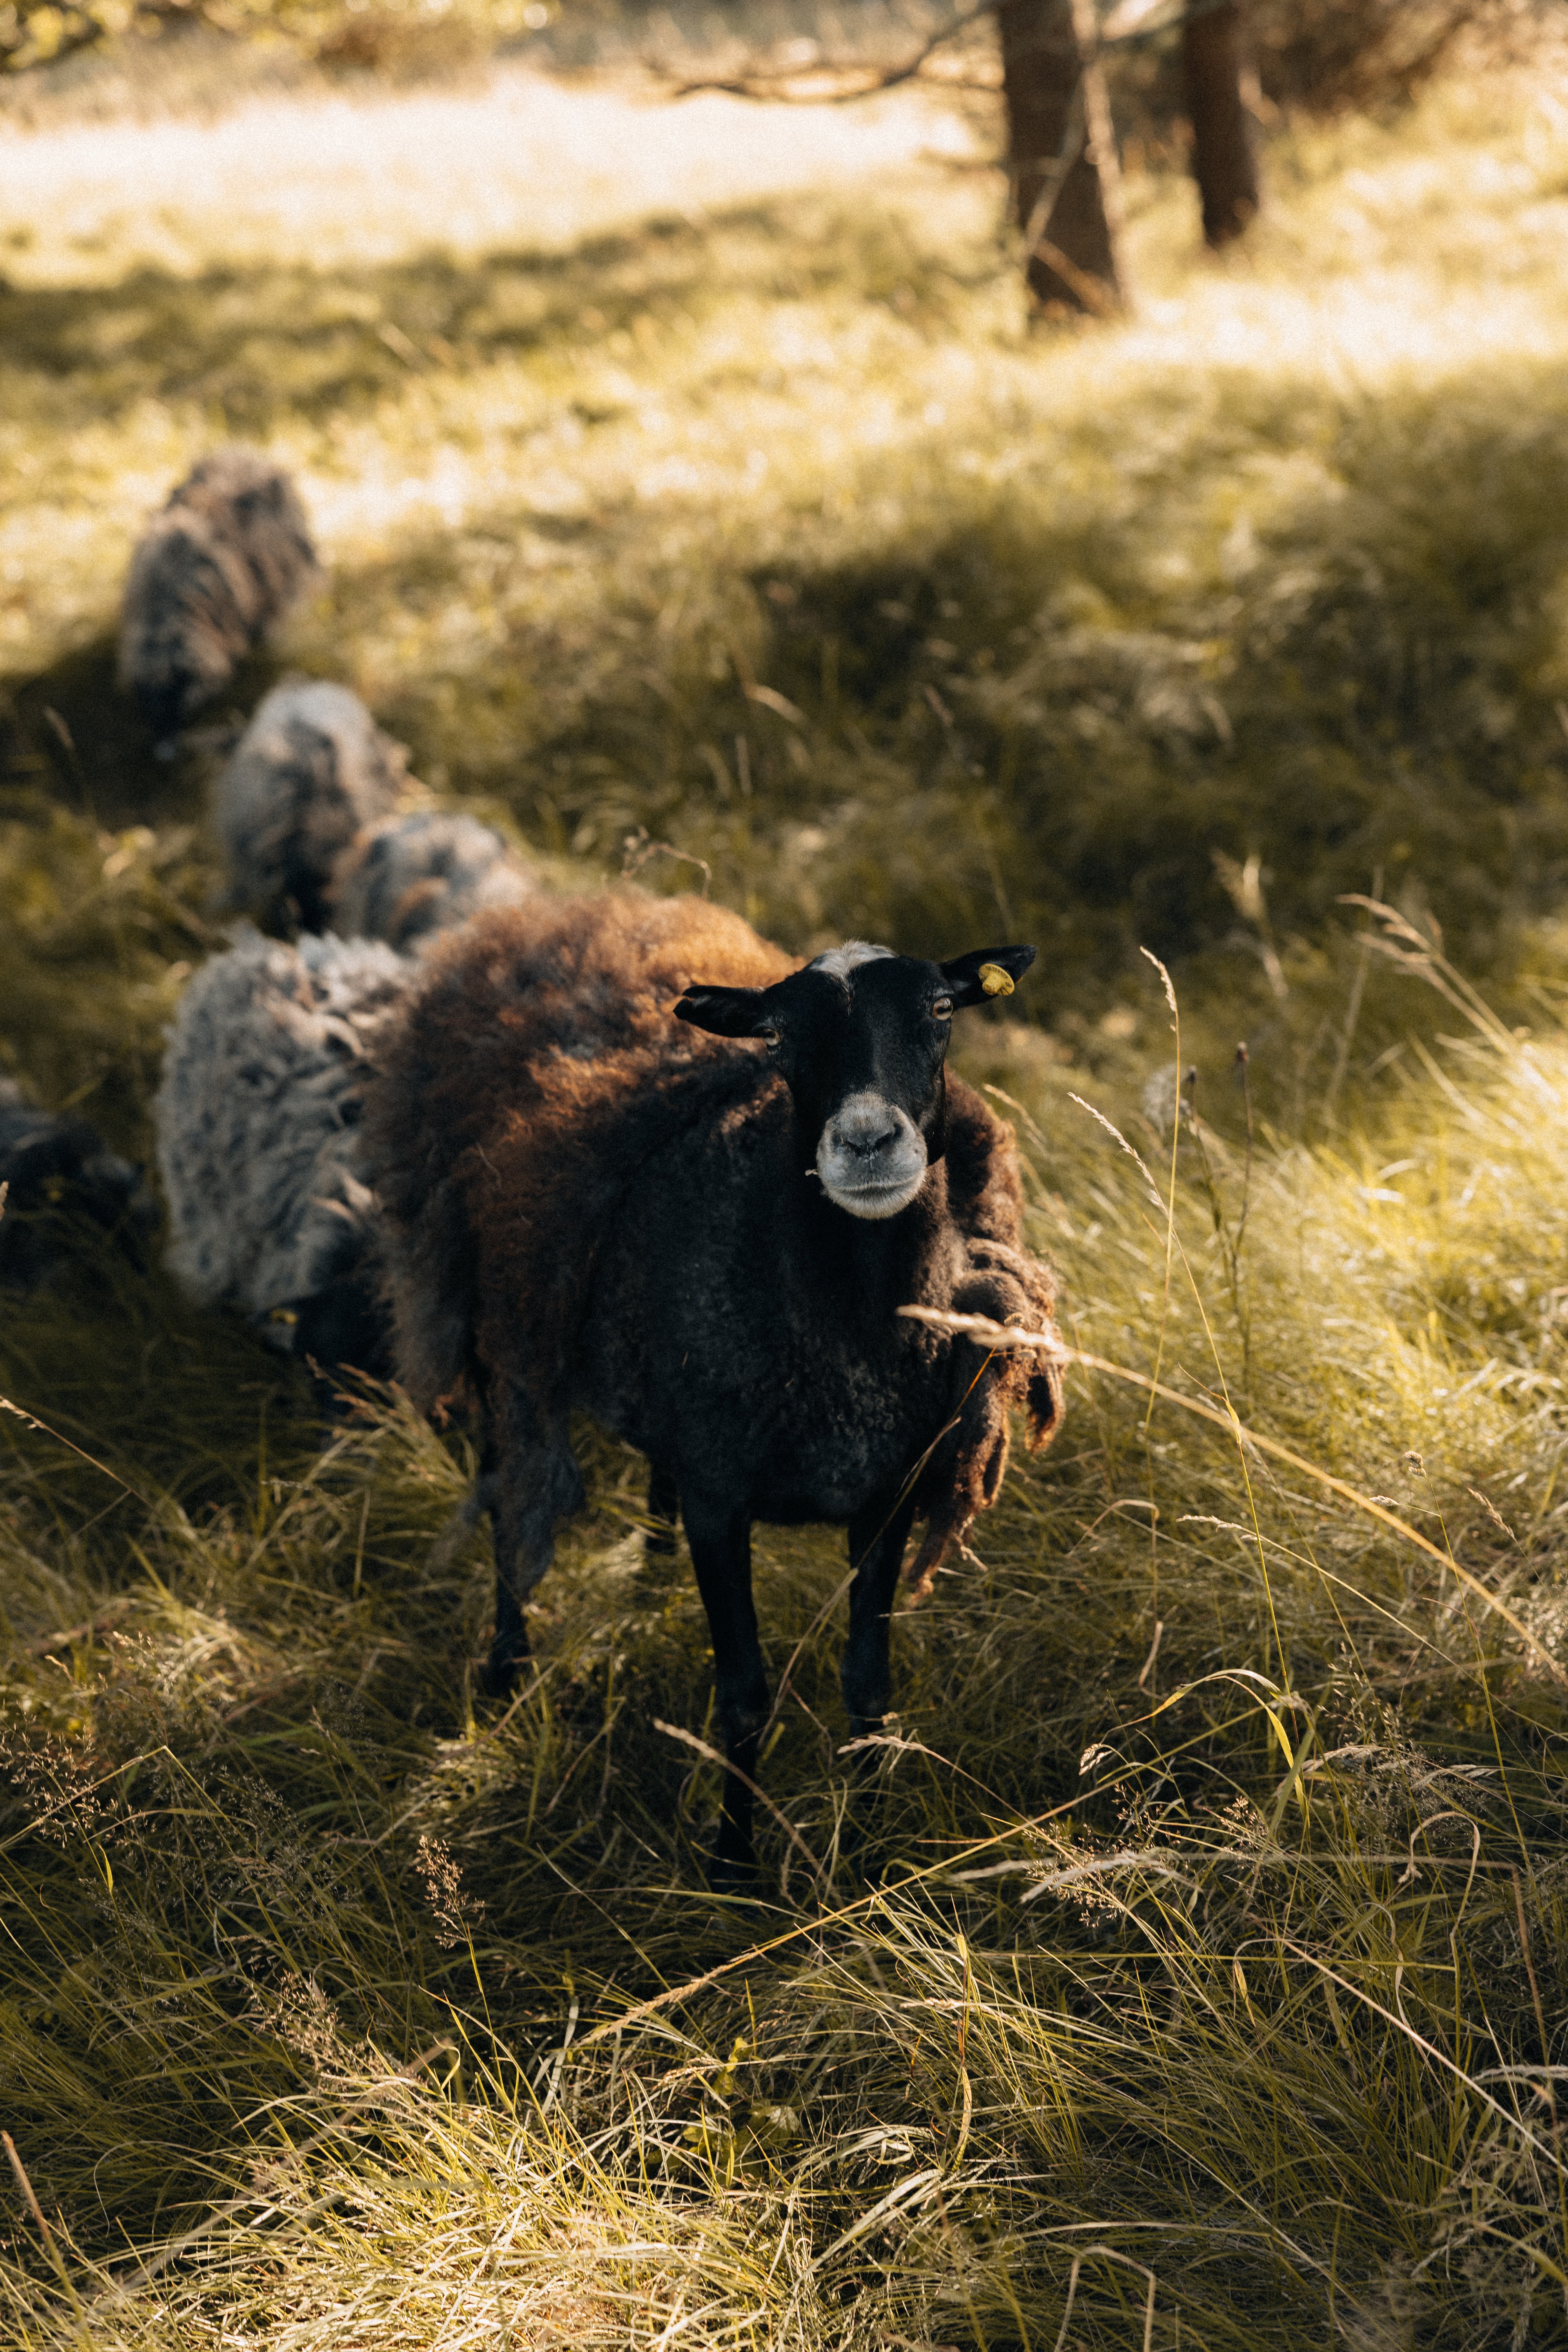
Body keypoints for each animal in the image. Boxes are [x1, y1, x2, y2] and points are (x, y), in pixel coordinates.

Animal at [363, 889, 1065, 1879]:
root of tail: (532, 928)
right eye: (776, 1036)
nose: (866, 1142)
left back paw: (645, 1593)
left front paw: (870, 1849)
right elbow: (743, 1693)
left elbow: (868, 1684)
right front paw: (733, 1865)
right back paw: (503, 1676)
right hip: (500, 1332)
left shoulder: (883, 1492)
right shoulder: (720, 1496)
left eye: (938, 1010)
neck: (841, 1323)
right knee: (511, 1500)